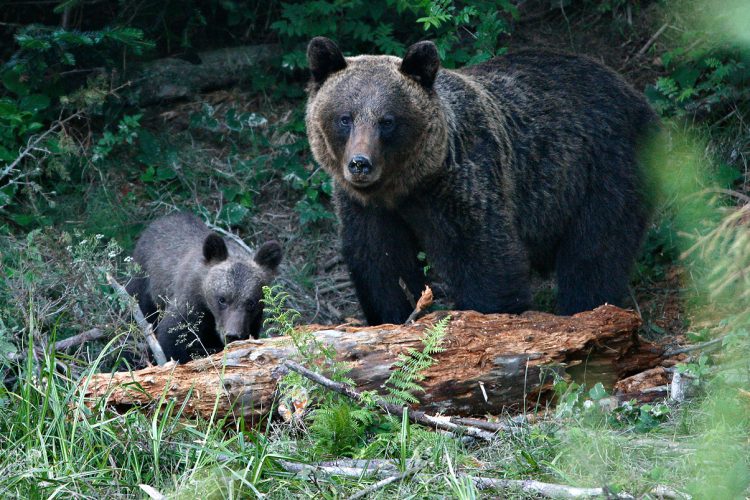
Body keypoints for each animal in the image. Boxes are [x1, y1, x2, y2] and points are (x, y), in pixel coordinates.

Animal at [128, 212, 284, 364]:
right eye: (222, 299)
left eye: (251, 302)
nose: (233, 335)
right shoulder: (189, 305)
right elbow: (172, 339)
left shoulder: (253, 321)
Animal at [306, 36, 656, 324]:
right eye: (345, 118)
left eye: (387, 121)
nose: (360, 164)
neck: (406, 184)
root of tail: (631, 91)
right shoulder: (366, 208)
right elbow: (380, 264)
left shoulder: (462, 184)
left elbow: (487, 261)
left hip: (603, 169)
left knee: (595, 251)